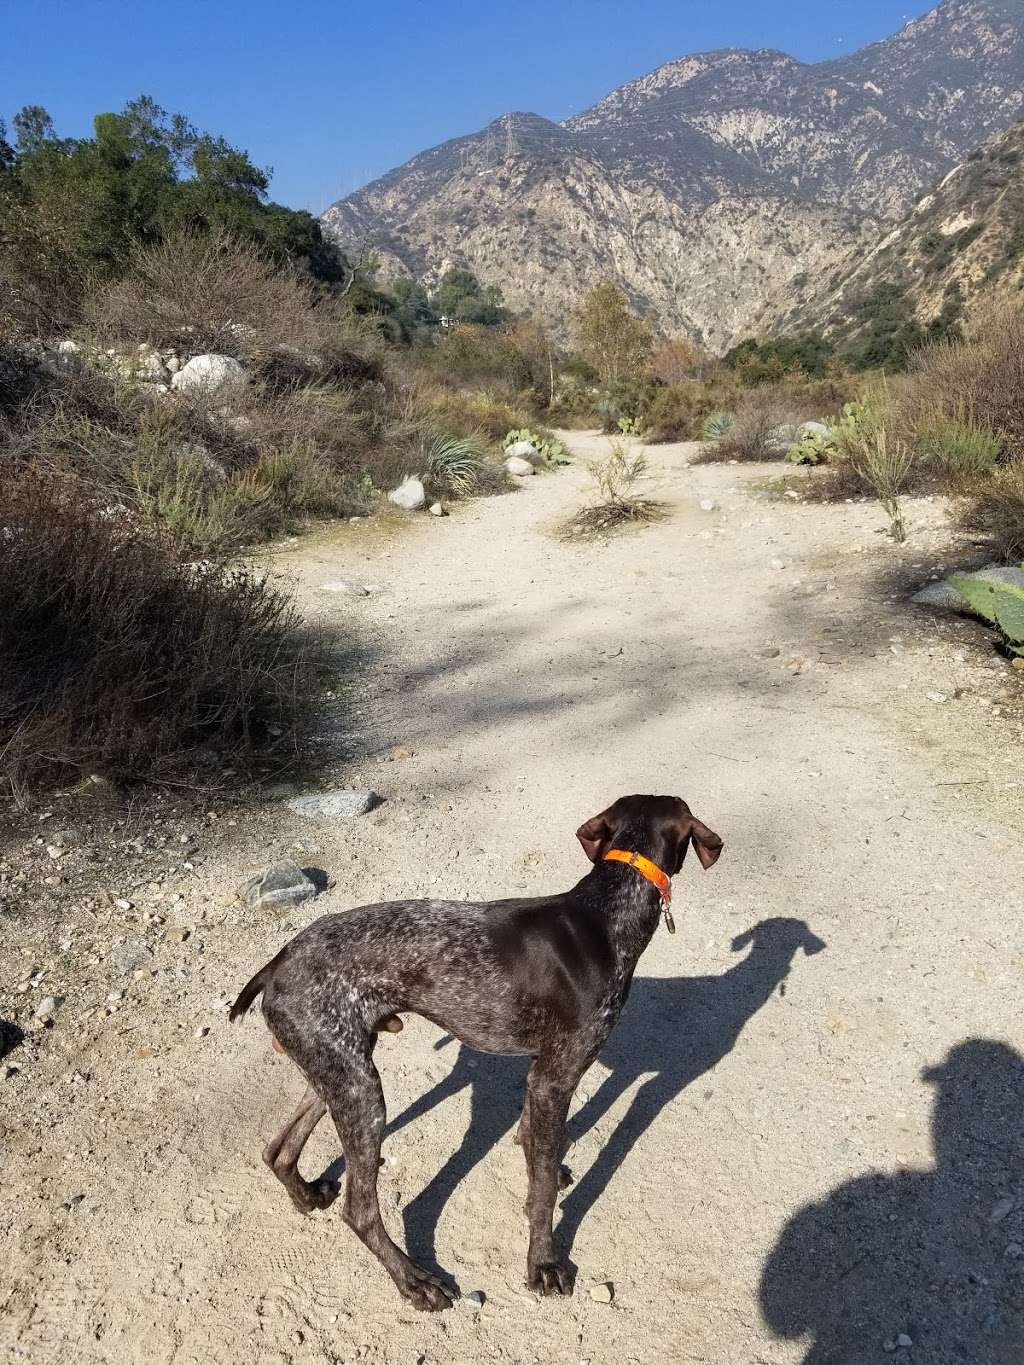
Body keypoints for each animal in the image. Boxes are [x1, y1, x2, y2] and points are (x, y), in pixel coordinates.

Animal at [228, 797, 726, 1304]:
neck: (607, 912)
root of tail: (277, 963)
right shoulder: (559, 1077)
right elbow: (543, 1190)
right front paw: (543, 1263)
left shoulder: (541, 1071)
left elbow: (534, 1144)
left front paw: (544, 1168)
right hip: (361, 1092)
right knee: (359, 1210)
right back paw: (413, 1280)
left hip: (337, 1067)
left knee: (278, 1150)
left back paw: (307, 1195)